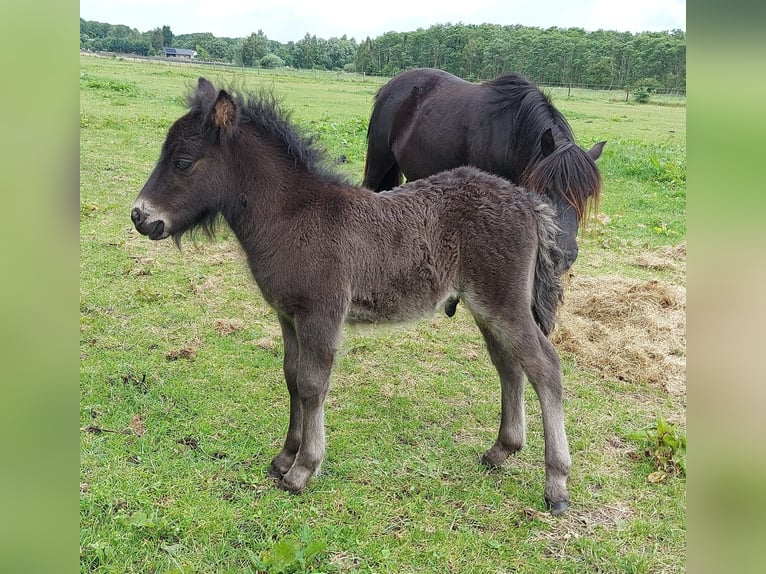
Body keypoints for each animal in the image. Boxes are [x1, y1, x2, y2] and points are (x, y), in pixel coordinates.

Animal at [364, 68, 608, 284]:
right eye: (545, 190)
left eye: (586, 195)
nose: (564, 257)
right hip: (379, 162)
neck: (511, 135)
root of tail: (389, 86)